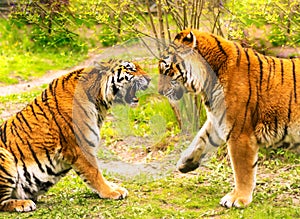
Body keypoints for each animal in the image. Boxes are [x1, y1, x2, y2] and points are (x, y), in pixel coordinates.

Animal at [0, 59, 150, 211]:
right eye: (130, 69)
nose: (149, 79)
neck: (99, 102)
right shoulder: (80, 148)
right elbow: (94, 173)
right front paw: (110, 192)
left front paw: (114, 187)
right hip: (4, 155)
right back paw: (24, 203)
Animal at [158, 28, 298, 208]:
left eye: (166, 68)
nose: (160, 91)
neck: (208, 82)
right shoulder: (218, 120)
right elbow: (201, 139)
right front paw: (185, 162)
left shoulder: (239, 132)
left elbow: (242, 169)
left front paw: (237, 198)